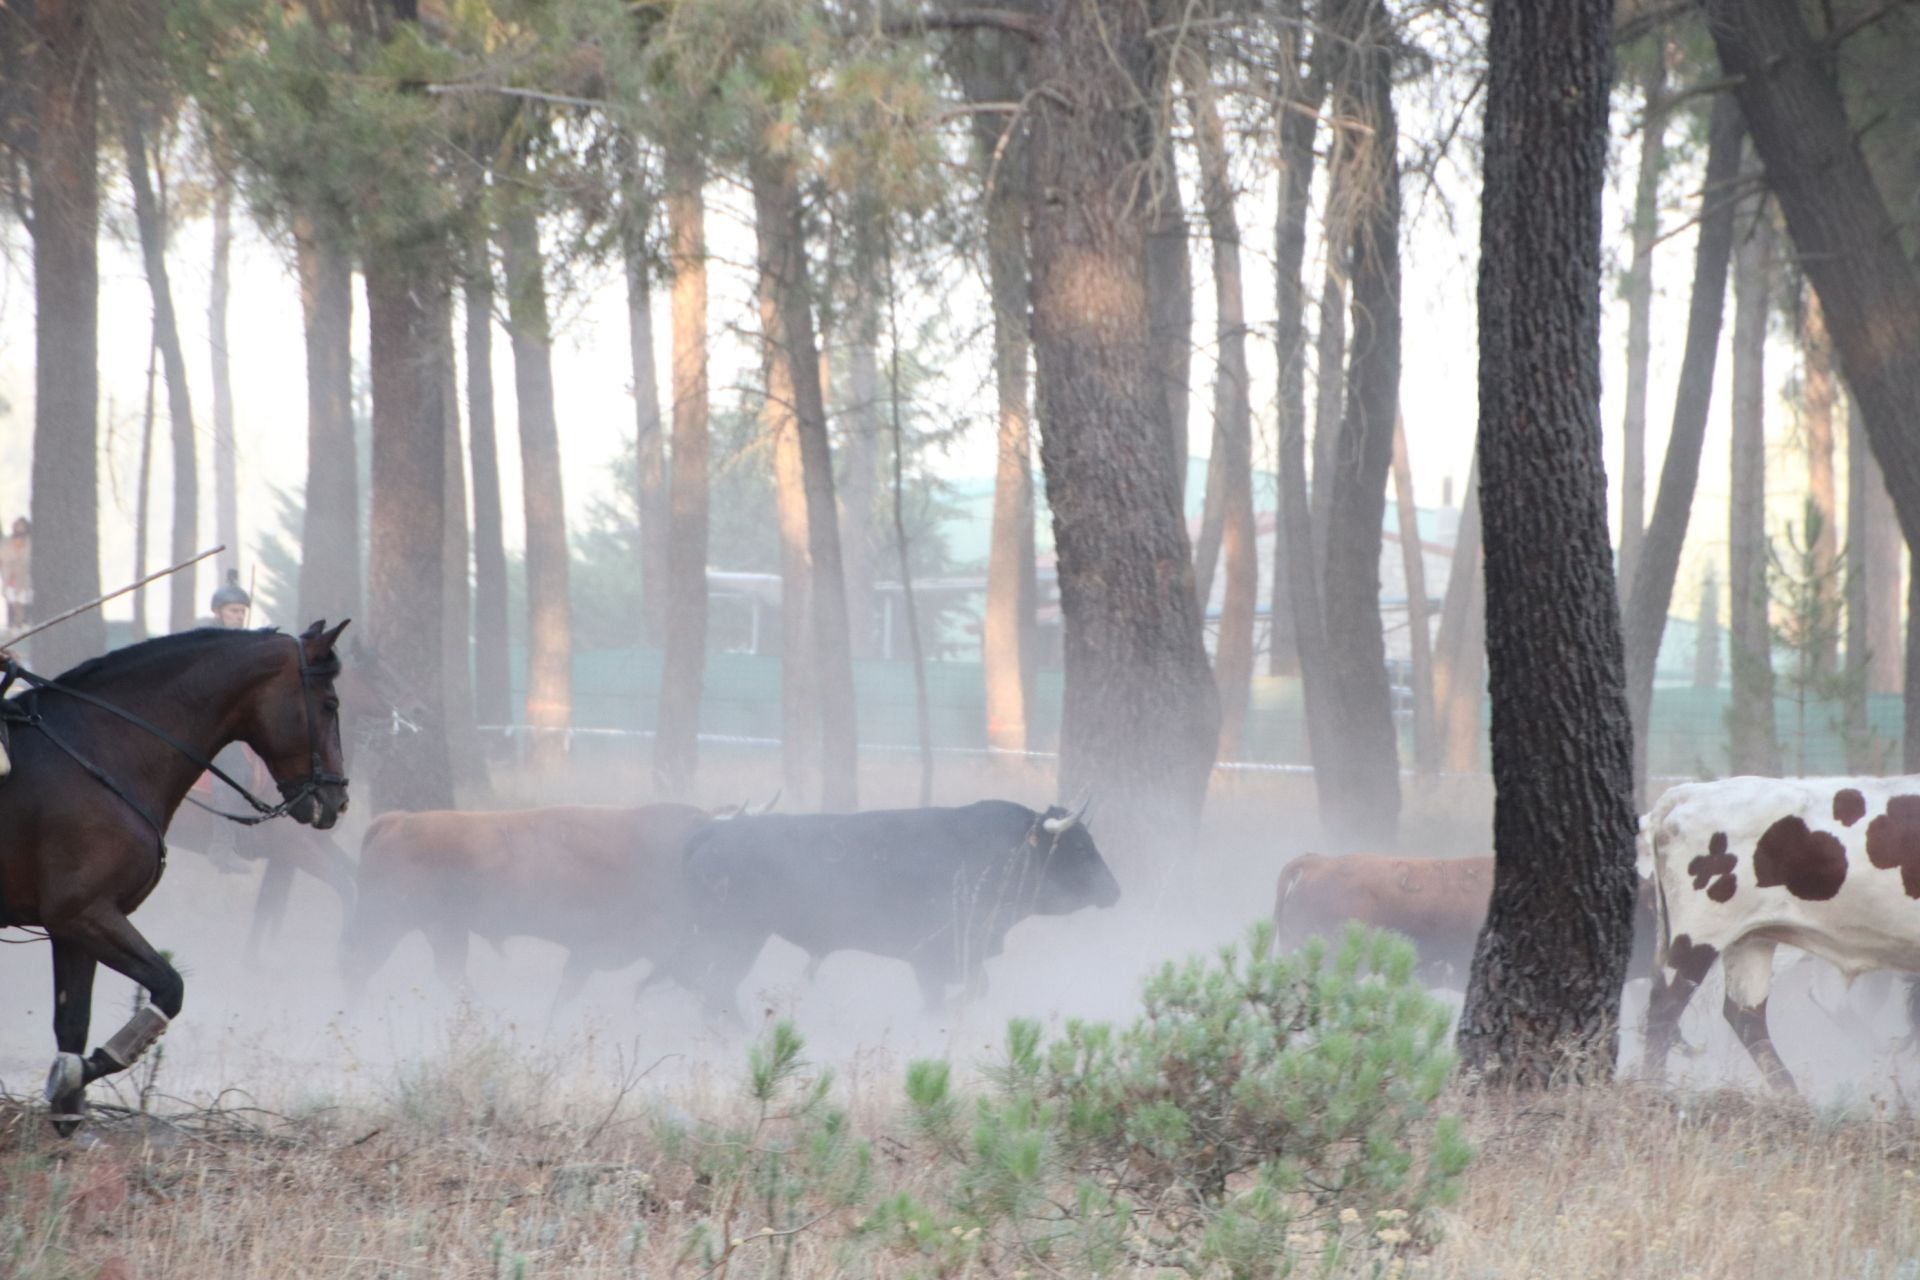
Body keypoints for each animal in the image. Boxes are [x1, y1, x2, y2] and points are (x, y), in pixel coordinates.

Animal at [0, 621, 349, 1128]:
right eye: (329, 704)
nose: (338, 801)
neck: (98, 750)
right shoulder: (86, 914)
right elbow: (169, 987)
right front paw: (81, 1076)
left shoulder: (70, 927)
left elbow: (72, 1024)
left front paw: (68, 1107)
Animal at [679, 802, 1121, 1020]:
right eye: (1079, 846)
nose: (1115, 890)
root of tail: (712, 831)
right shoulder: (932, 958)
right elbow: (947, 997)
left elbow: (973, 989)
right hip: (738, 940)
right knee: (718, 990)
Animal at [1628, 775, 1920, 1097]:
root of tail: (1688, 792)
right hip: (1701, 934)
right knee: (1665, 1007)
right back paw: (1652, 1089)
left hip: (1750, 940)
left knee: (1746, 1015)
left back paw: (1793, 1097)